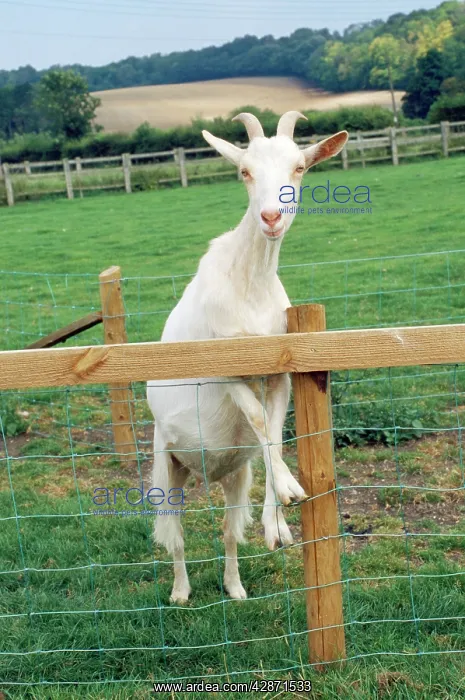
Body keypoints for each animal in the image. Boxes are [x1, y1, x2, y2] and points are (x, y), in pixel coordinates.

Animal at [147, 112, 348, 603]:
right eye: (244, 171)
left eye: (300, 168)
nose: (271, 217)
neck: (249, 283)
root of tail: (204, 471)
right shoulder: (224, 366)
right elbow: (257, 418)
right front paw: (292, 488)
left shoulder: (279, 371)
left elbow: (271, 429)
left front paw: (278, 524)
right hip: (167, 462)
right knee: (175, 533)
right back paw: (180, 592)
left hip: (234, 473)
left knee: (226, 529)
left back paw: (234, 587)